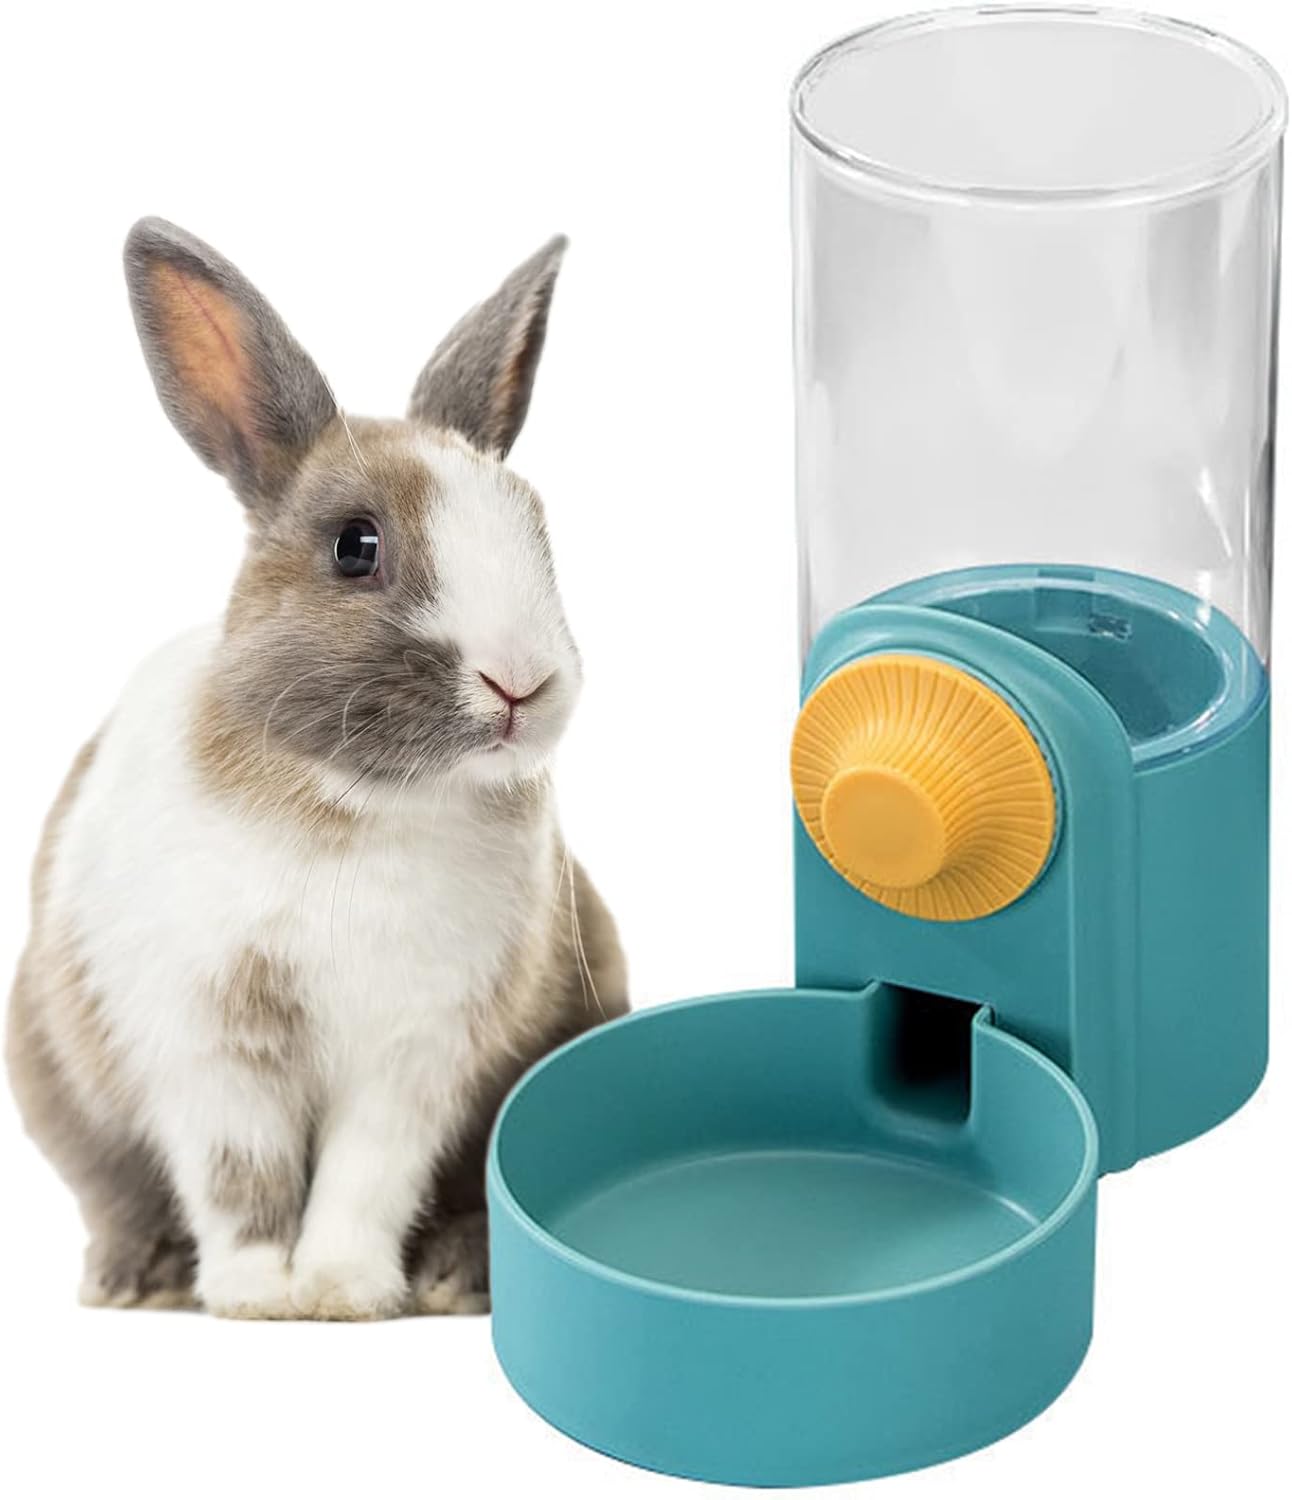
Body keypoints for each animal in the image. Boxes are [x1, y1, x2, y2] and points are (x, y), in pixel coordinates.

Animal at [5, 218, 627, 1320]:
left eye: (537, 530)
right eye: (355, 546)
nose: (522, 682)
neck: (354, 806)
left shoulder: (413, 1056)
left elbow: (363, 1176)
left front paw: (339, 1289)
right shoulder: (210, 1044)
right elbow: (239, 1176)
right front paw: (259, 1293)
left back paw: (456, 1279)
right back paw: (134, 1281)